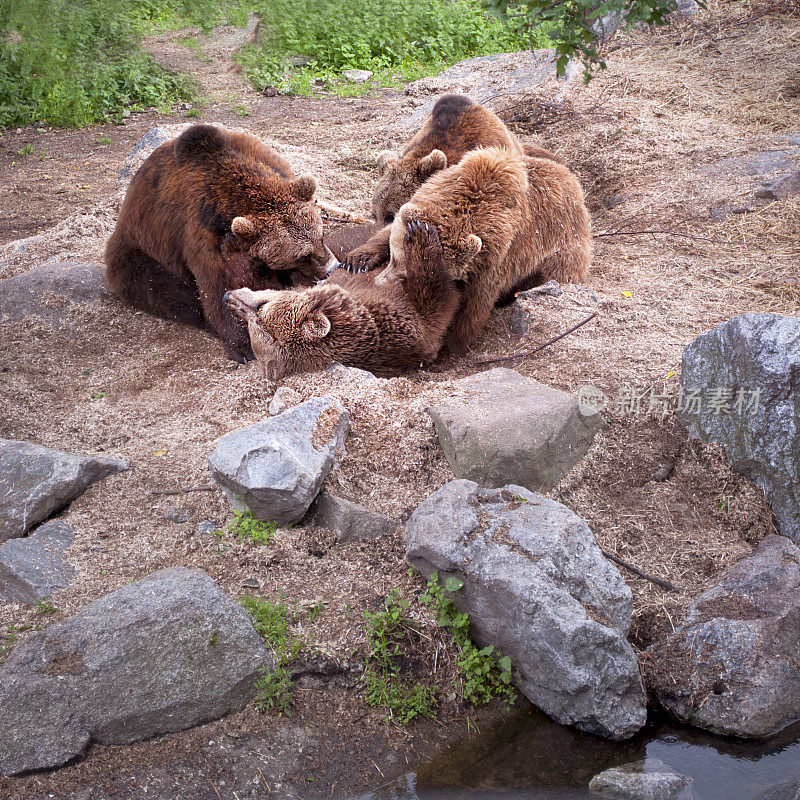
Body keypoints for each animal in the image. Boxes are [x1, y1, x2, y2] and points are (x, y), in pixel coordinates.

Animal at [104, 123, 336, 360]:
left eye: (321, 235)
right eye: (302, 255)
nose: (331, 268)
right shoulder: (201, 232)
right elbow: (219, 284)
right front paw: (244, 345)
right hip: (139, 250)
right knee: (160, 286)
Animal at [225, 220, 462, 380]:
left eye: (261, 305)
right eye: (253, 324)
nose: (228, 296)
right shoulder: (407, 322)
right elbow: (438, 299)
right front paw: (420, 234)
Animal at [374, 146, 588, 356]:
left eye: (408, 275)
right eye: (393, 258)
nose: (379, 283)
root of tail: (576, 187)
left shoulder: (497, 260)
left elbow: (472, 308)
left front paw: (449, 345)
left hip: (562, 251)